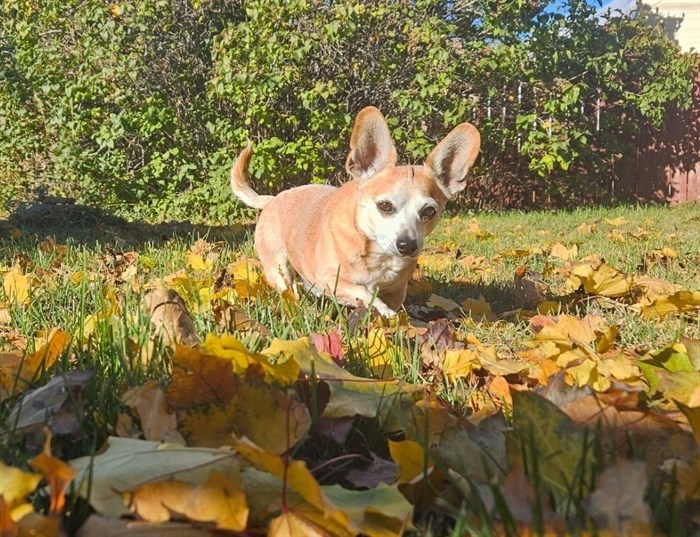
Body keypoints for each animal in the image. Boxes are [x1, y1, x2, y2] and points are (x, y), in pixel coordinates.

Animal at [230, 105, 482, 314]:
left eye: (429, 211)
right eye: (384, 206)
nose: (408, 245)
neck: (377, 255)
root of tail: (272, 199)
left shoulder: (396, 290)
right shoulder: (332, 280)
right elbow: (366, 294)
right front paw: (386, 314)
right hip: (279, 268)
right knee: (288, 287)